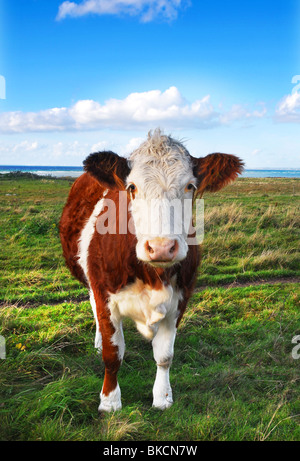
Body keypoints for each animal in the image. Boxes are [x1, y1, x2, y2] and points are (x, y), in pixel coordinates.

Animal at [59, 127, 244, 412]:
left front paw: (163, 397)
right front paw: (110, 401)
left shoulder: (180, 298)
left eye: (190, 186)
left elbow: (165, 355)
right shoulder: (105, 295)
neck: (152, 276)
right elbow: (113, 354)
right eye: (132, 187)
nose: (161, 247)